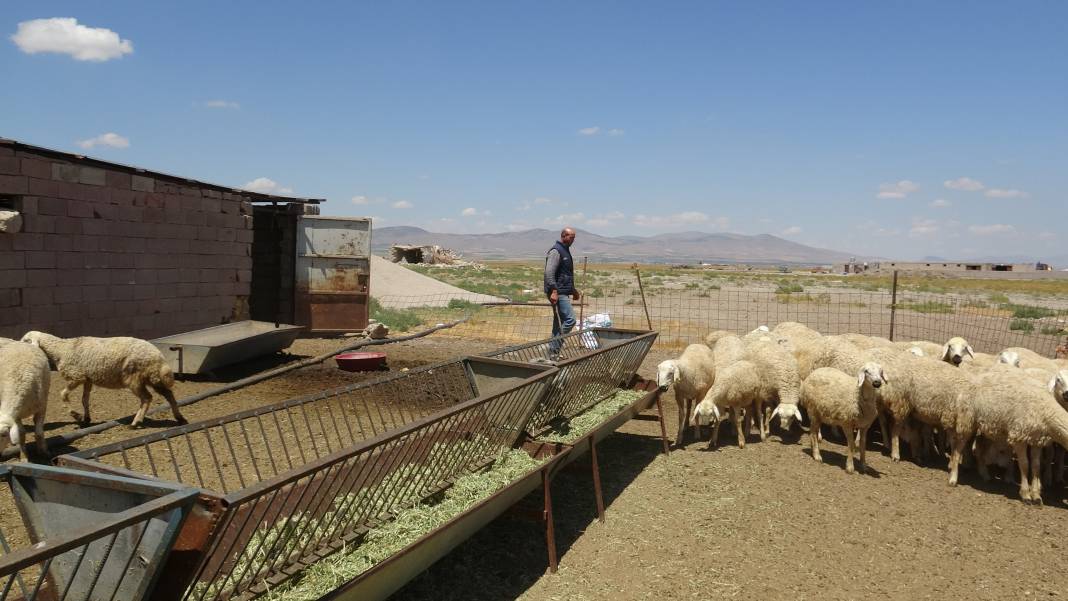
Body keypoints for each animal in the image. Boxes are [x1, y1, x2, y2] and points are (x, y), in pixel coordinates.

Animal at [19, 330, 186, 424]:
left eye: (26, 339)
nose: (17, 346)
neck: (61, 349)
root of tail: (159, 356)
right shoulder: (87, 379)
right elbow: (84, 399)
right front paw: (86, 418)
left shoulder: (77, 376)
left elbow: (63, 395)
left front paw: (75, 415)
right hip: (153, 377)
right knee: (169, 394)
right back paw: (180, 418)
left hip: (134, 377)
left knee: (147, 398)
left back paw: (136, 422)